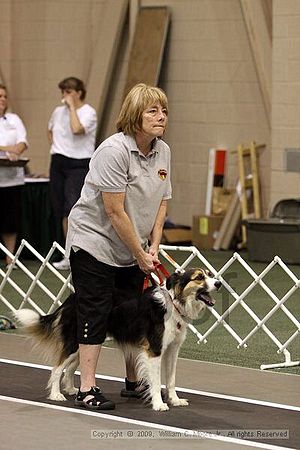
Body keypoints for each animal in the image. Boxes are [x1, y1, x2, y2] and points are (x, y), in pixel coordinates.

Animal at [15, 268, 220, 412]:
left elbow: (171, 379)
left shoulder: (172, 350)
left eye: (210, 275)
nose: (218, 283)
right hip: (75, 341)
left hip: (84, 342)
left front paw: (175, 400)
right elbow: (156, 380)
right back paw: (56, 394)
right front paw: (159, 404)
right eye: (199, 277)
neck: (174, 304)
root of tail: (71, 298)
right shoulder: (154, 349)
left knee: (71, 367)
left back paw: (73, 390)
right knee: (57, 368)